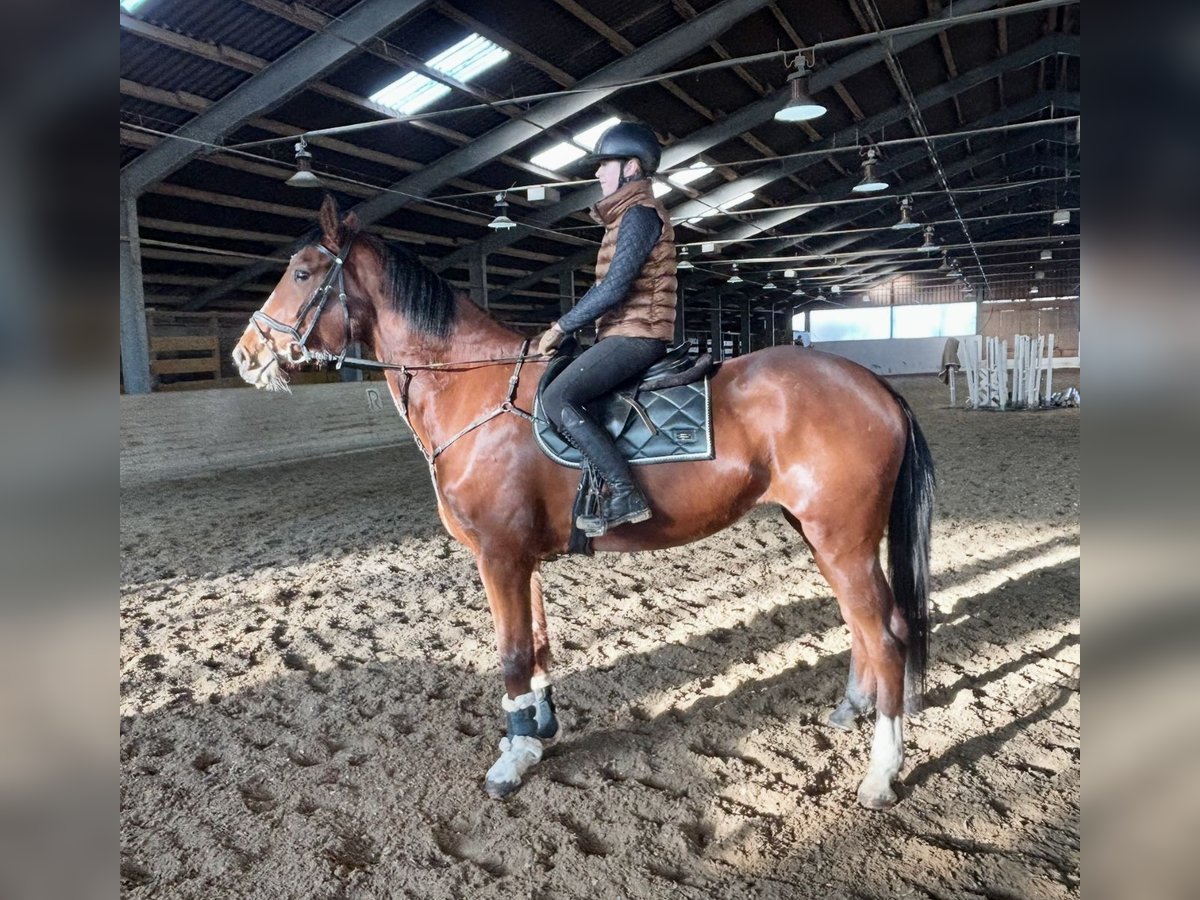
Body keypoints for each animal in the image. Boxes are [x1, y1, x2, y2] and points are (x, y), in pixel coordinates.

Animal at [229, 196, 931, 811]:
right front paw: (537, 733)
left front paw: (511, 761)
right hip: (822, 534)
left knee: (887, 636)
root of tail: (871, 386)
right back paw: (851, 710)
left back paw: (880, 774)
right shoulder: (521, 559)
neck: (473, 389)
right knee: (863, 625)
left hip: (841, 538)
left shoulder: (499, 556)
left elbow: (512, 652)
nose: (245, 354)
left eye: (301, 272)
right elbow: (538, 646)